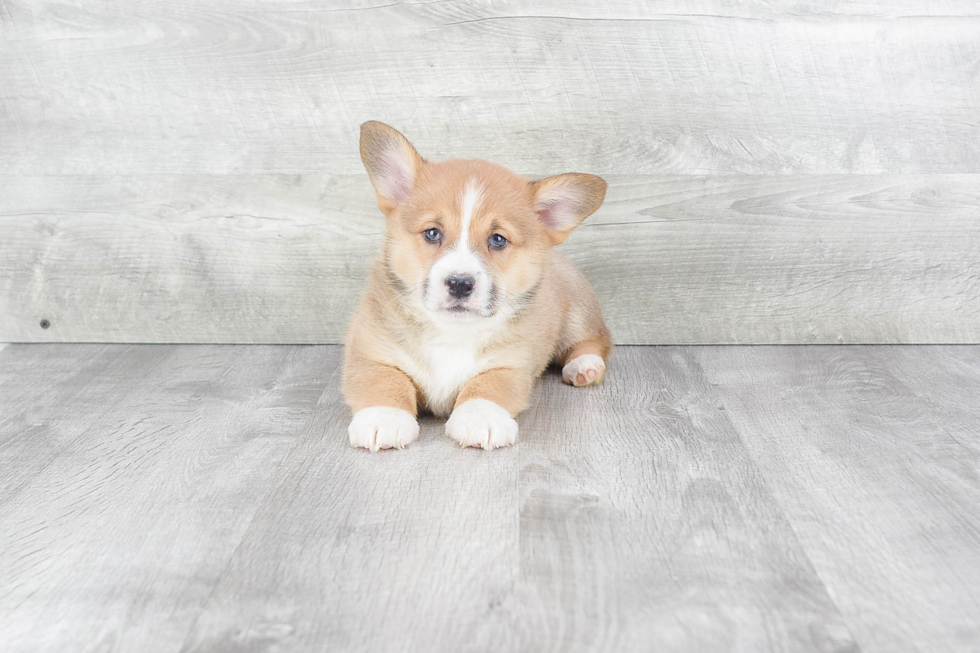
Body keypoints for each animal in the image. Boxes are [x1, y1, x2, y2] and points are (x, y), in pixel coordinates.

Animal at [340, 121, 608, 448]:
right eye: (432, 233)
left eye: (498, 239)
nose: (459, 283)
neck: (451, 331)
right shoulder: (368, 353)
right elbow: (384, 380)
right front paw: (384, 418)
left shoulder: (511, 364)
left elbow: (487, 386)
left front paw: (481, 418)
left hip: (577, 313)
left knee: (596, 340)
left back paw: (585, 366)